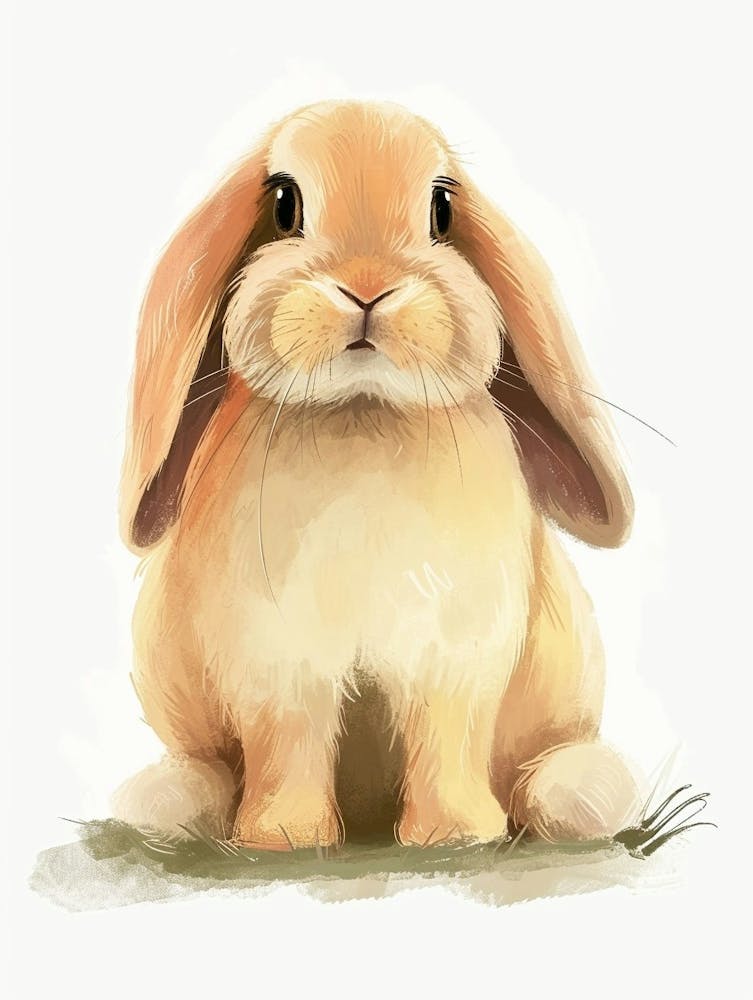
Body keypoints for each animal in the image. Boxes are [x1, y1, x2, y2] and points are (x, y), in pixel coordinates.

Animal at [112, 100, 641, 850]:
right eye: (284, 203)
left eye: (442, 208)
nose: (367, 287)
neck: (361, 413)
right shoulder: (278, 662)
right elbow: (290, 744)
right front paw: (286, 839)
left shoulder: (454, 653)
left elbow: (447, 738)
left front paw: (455, 837)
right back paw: (174, 805)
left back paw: (572, 800)